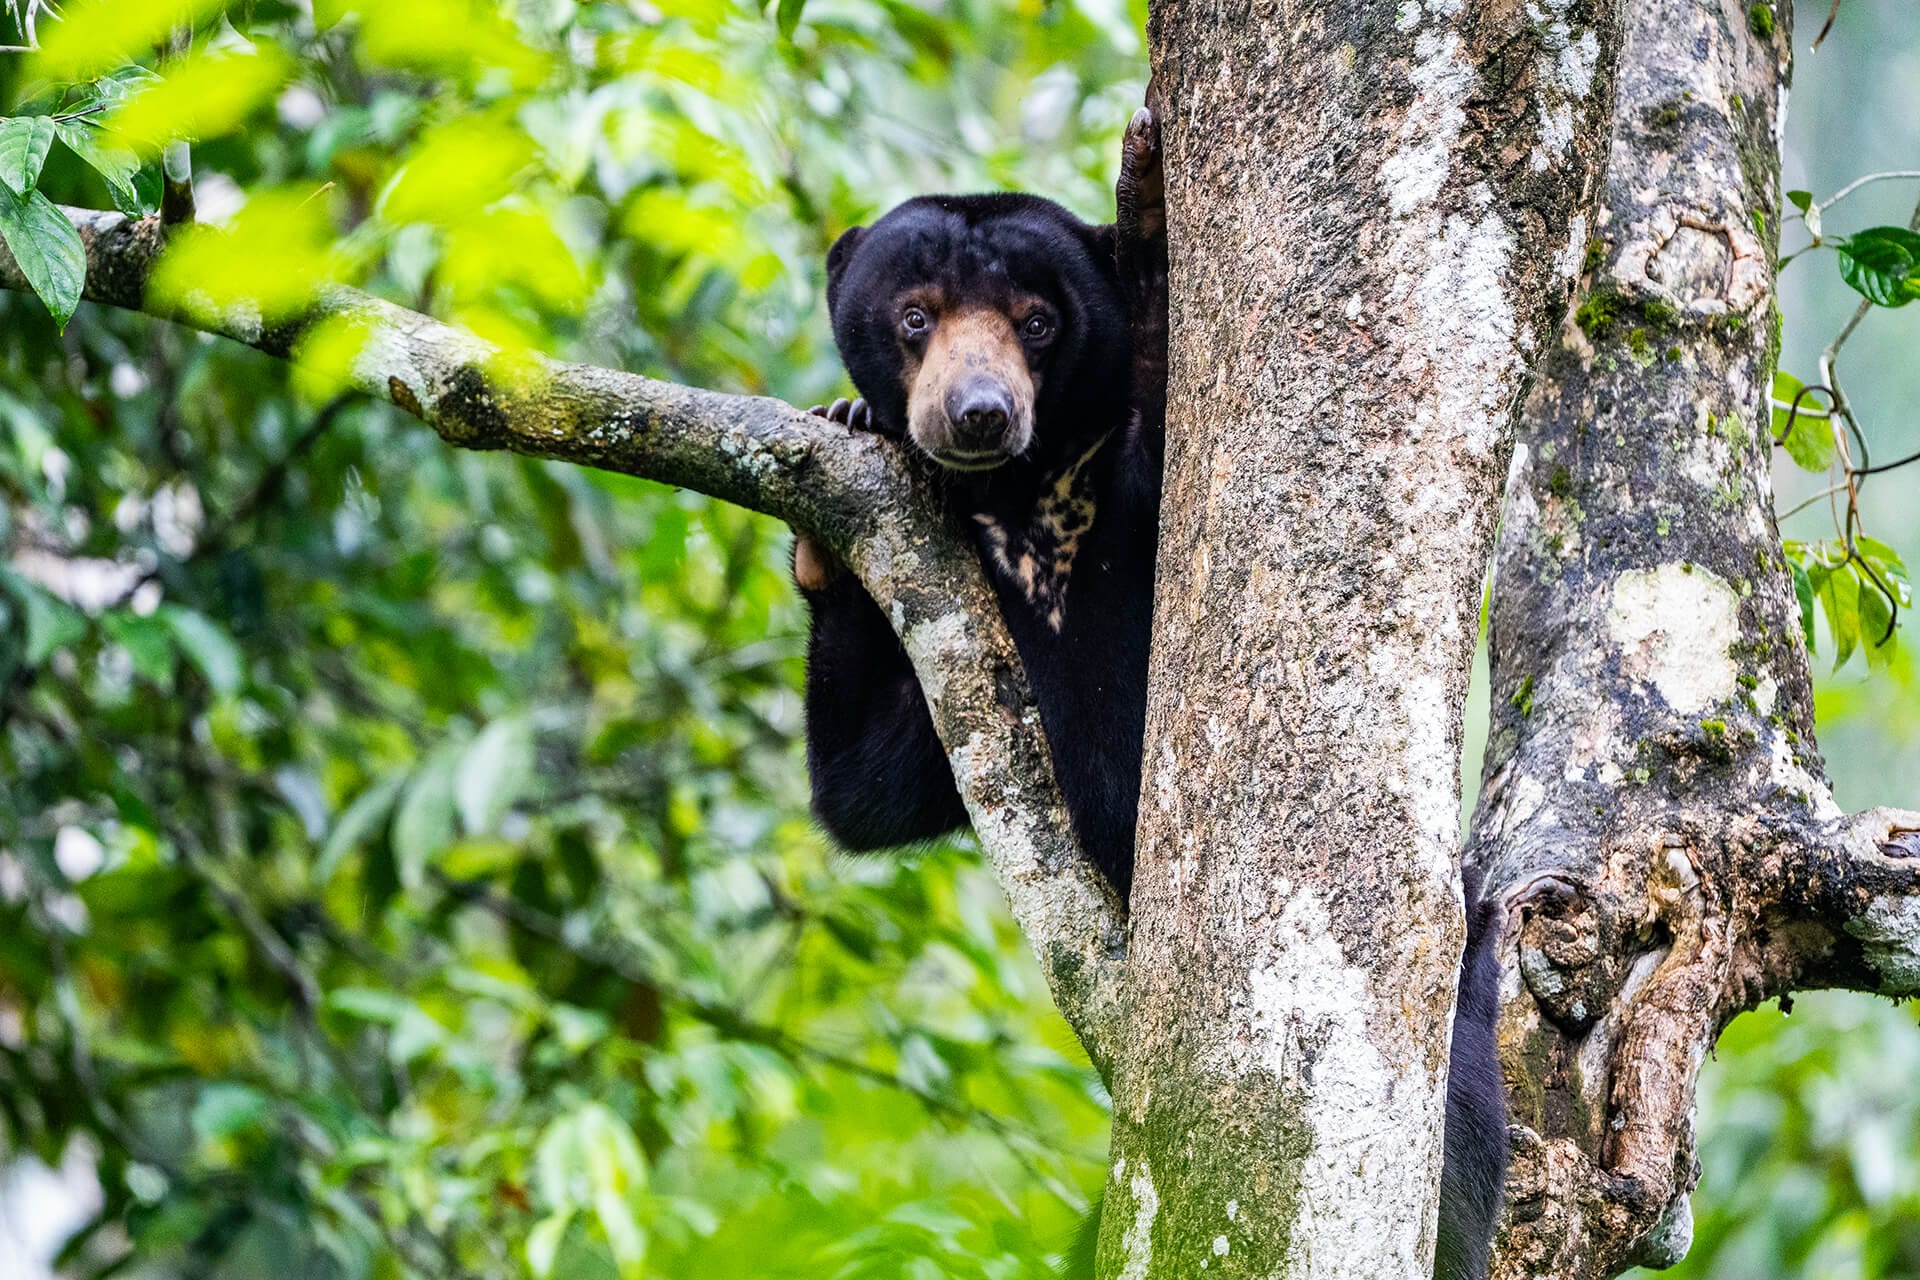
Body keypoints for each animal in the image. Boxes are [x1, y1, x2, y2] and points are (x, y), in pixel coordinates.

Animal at [792, 110, 1506, 1280]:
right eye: (914, 317)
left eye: (1037, 322)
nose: (977, 413)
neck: (1028, 504)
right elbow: (874, 786)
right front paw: (840, 462)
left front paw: (1148, 209)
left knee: (1458, 1122)